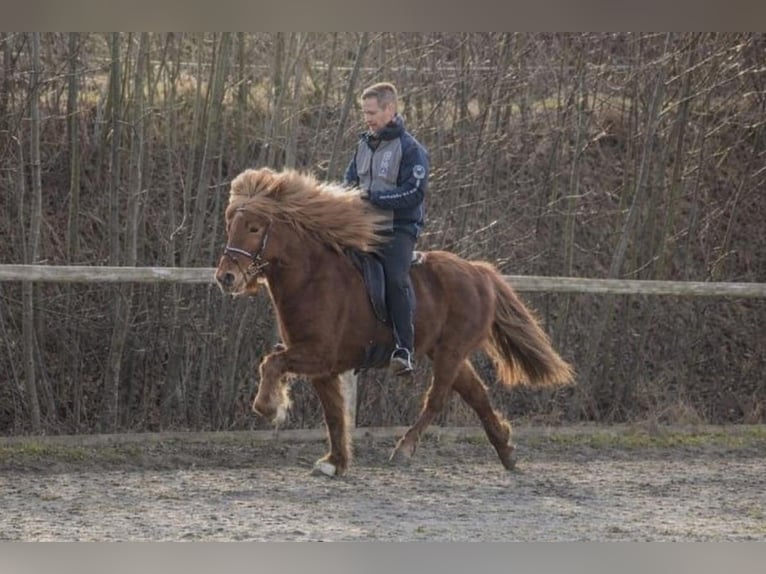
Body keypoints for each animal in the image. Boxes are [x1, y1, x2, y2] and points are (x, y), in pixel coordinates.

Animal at [215, 167, 574, 477]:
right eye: (230, 224)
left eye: (254, 227)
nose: (226, 277)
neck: (312, 277)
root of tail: (479, 271)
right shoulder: (323, 368)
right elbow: (334, 413)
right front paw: (335, 462)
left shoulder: (318, 355)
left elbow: (272, 363)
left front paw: (269, 407)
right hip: (447, 352)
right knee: (476, 395)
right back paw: (507, 452)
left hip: (450, 352)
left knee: (437, 399)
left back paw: (404, 449)